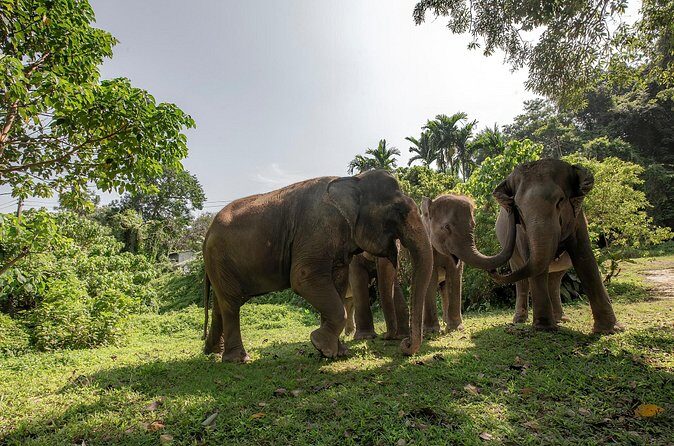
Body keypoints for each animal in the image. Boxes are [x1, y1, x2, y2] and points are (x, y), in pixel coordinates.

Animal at [202, 170, 433, 362]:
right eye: (398, 211)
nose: (404, 345)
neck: (352, 180)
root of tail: (207, 233)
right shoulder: (317, 229)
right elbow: (303, 278)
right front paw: (320, 344)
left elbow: (338, 283)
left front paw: (337, 352)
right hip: (220, 258)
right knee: (231, 303)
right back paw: (238, 359)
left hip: (219, 265)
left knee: (221, 304)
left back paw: (213, 352)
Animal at [420, 194, 517, 331]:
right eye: (446, 227)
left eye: (473, 225)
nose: (510, 204)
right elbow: (431, 278)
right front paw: (431, 331)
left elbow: (455, 275)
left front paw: (456, 328)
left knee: (444, 287)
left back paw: (445, 322)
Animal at [489, 159, 623, 333]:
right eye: (517, 208)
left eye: (560, 200)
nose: (492, 269)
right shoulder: (521, 233)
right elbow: (533, 262)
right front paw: (544, 327)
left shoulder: (577, 217)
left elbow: (585, 258)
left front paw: (611, 329)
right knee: (523, 276)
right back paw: (520, 320)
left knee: (554, 279)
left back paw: (560, 318)